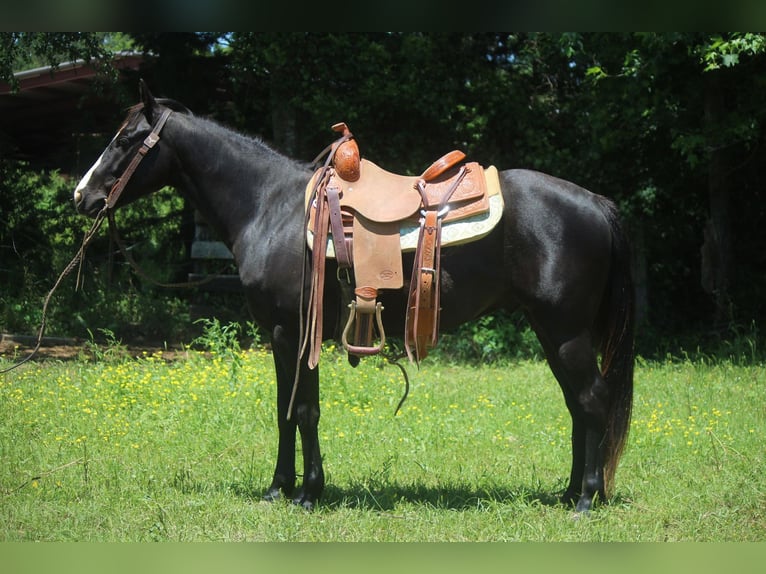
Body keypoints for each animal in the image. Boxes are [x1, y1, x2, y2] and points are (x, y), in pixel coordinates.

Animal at [73, 80, 636, 512]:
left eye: (126, 139)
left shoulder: (291, 331)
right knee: (577, 405)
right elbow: (287, 409)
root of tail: (595, 202)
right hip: (551, 331)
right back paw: (567, 494)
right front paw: (281, 489)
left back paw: (587, 499)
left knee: (592, 400)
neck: (270, 206)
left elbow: (301, 410)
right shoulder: (289, 336)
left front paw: (304, 494)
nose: (82, 195)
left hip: (566, 332)